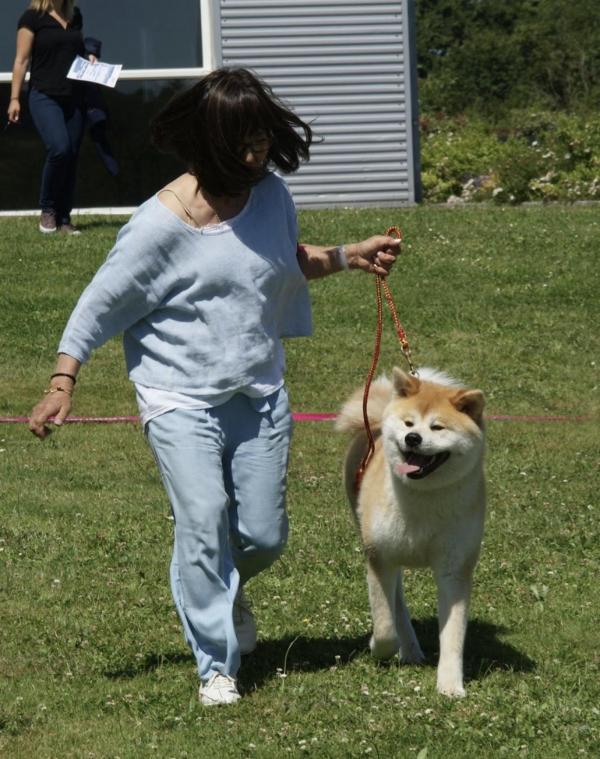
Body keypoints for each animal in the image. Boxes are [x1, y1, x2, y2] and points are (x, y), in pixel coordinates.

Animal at [338, 370, 488, 700]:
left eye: (437, 427)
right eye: (409, 424)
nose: (413, 439)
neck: (423, 498)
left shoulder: (455, 568)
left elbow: (453, 635)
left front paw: (450, 684)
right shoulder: (379, 558)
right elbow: (384, 626)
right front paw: (378, 647)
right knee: (396, 603)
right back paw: (406, 645)